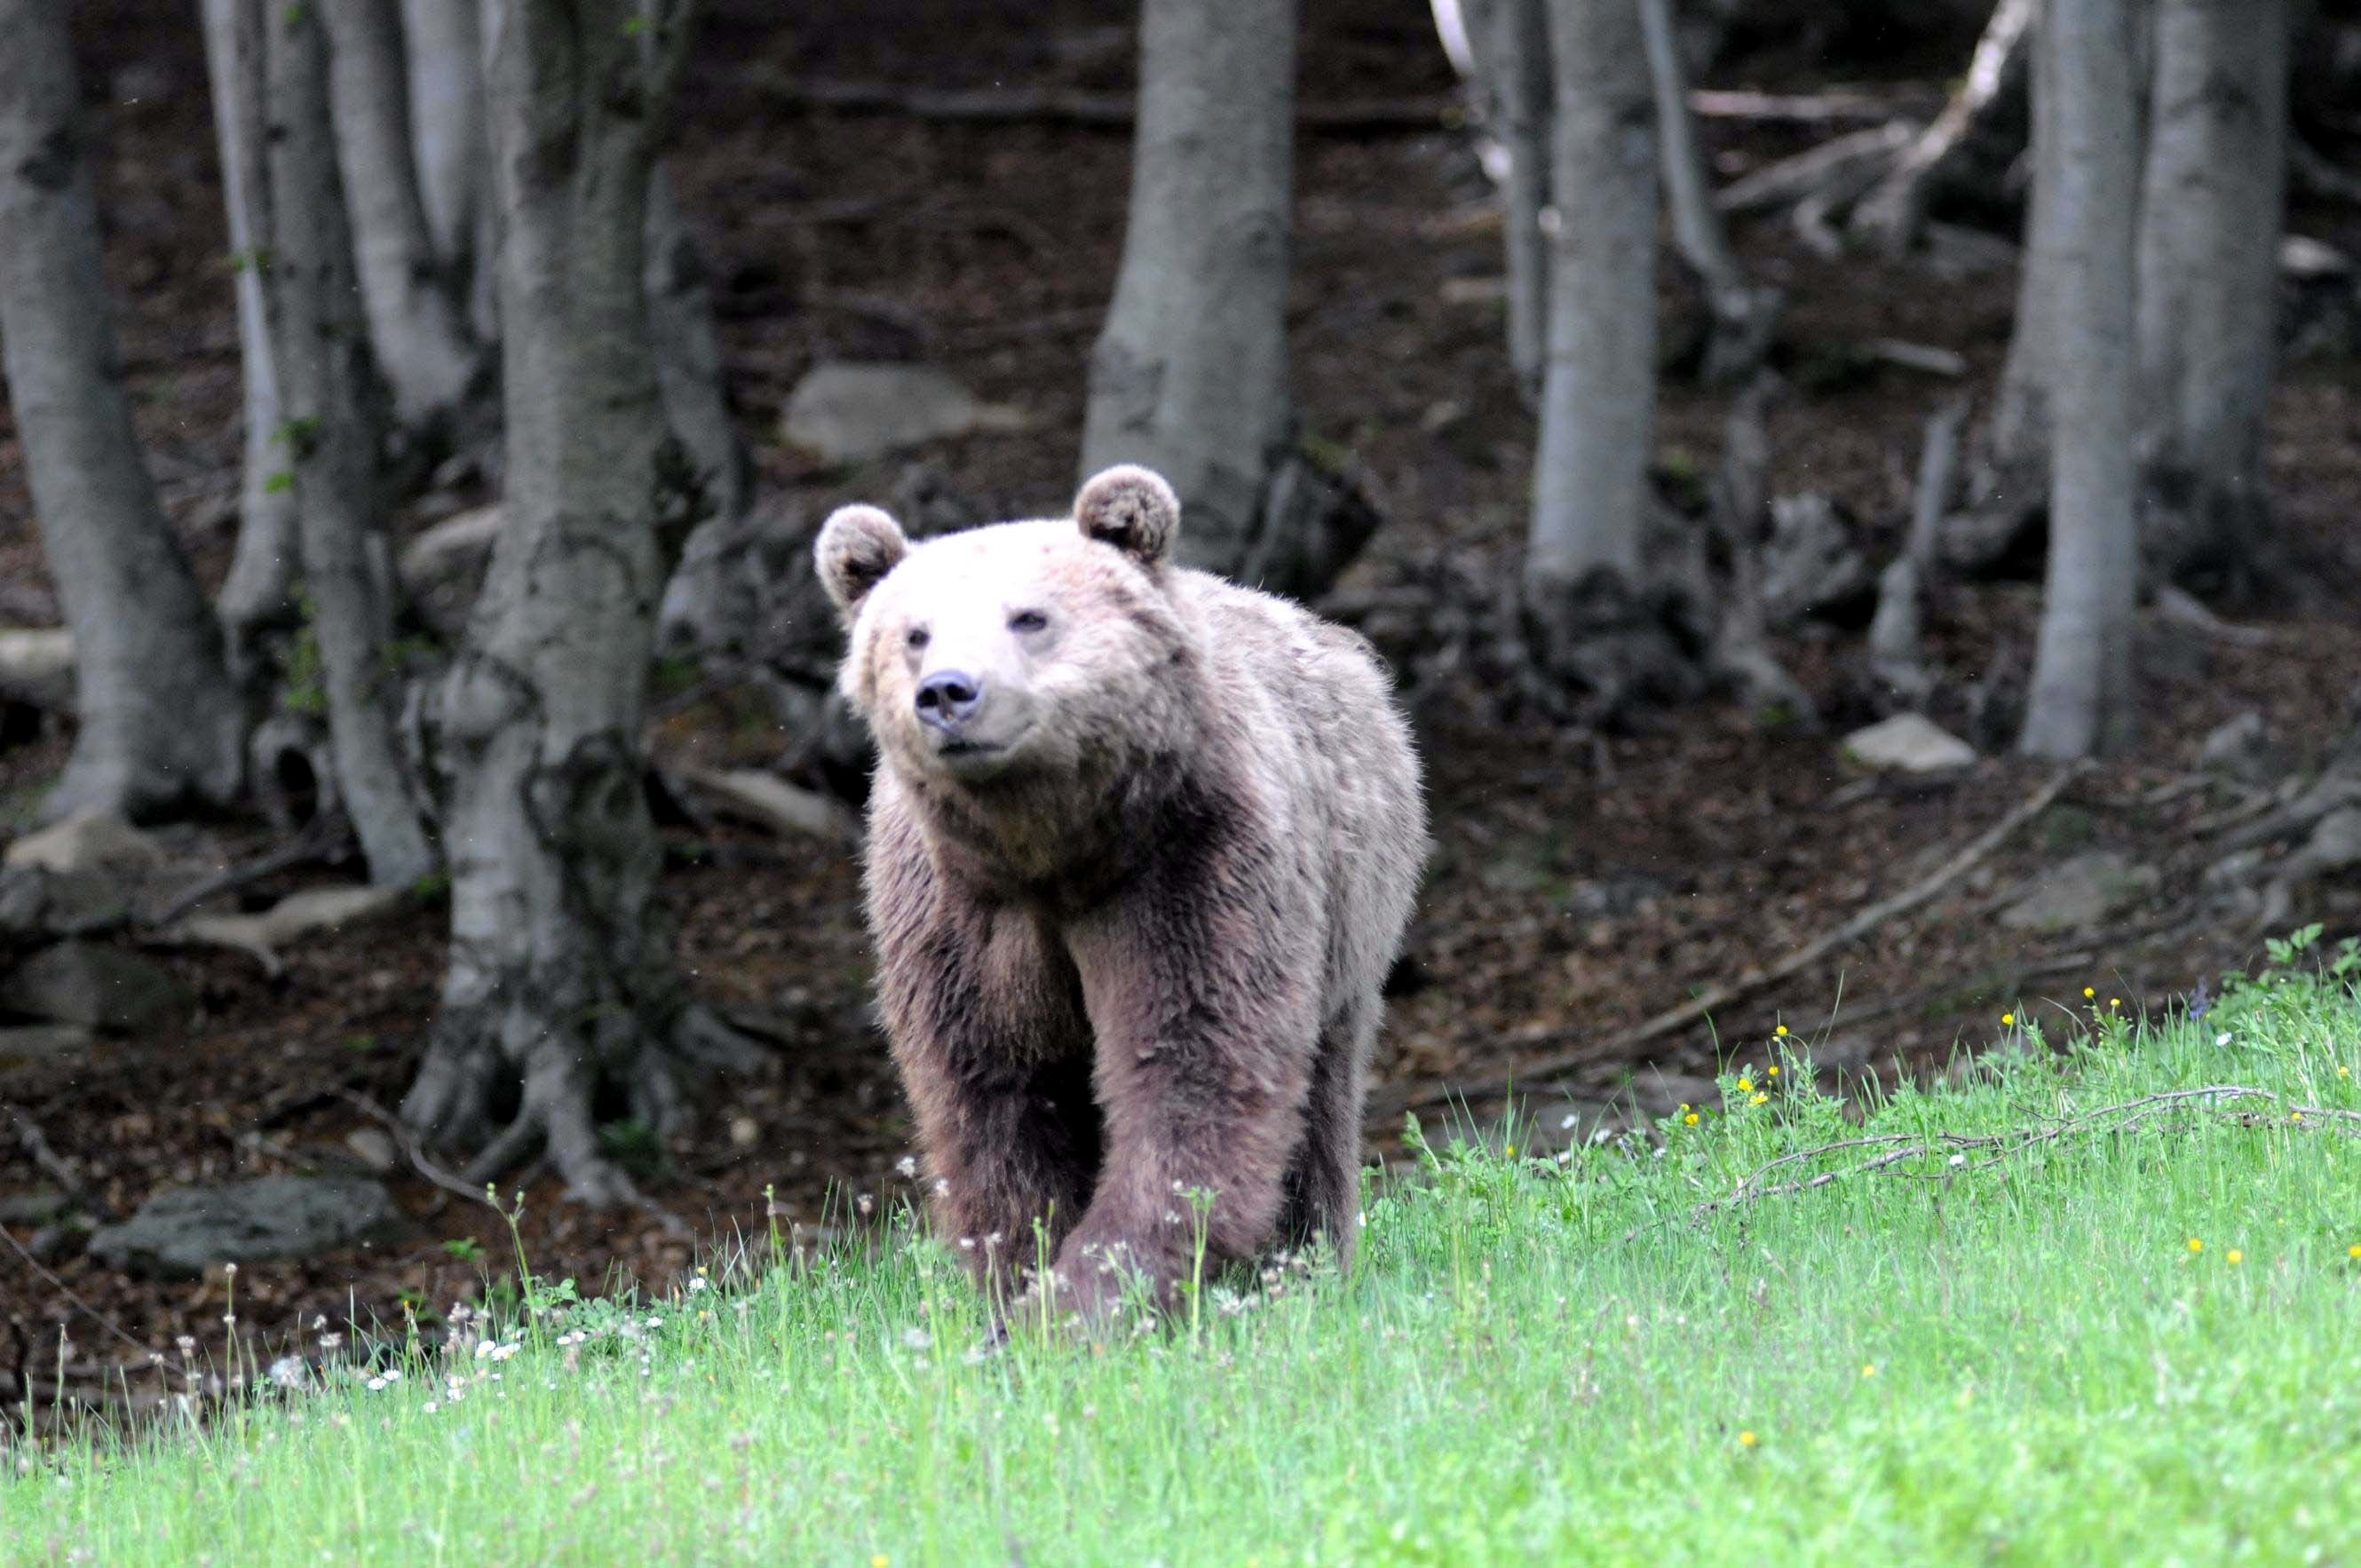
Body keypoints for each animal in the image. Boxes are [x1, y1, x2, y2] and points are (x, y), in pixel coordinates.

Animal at [821, 464, 1416, 1322]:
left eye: (1029, 616)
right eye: (914, 633)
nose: (947, 694)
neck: (1056, 851)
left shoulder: (1188, 867)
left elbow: (1191, 1063)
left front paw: (1091, 1296)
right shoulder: (957, 914)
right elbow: (997, 1093)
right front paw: (1023, 1282)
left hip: (1347, 914)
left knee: (1322, 1098)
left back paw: (1305, 1265)